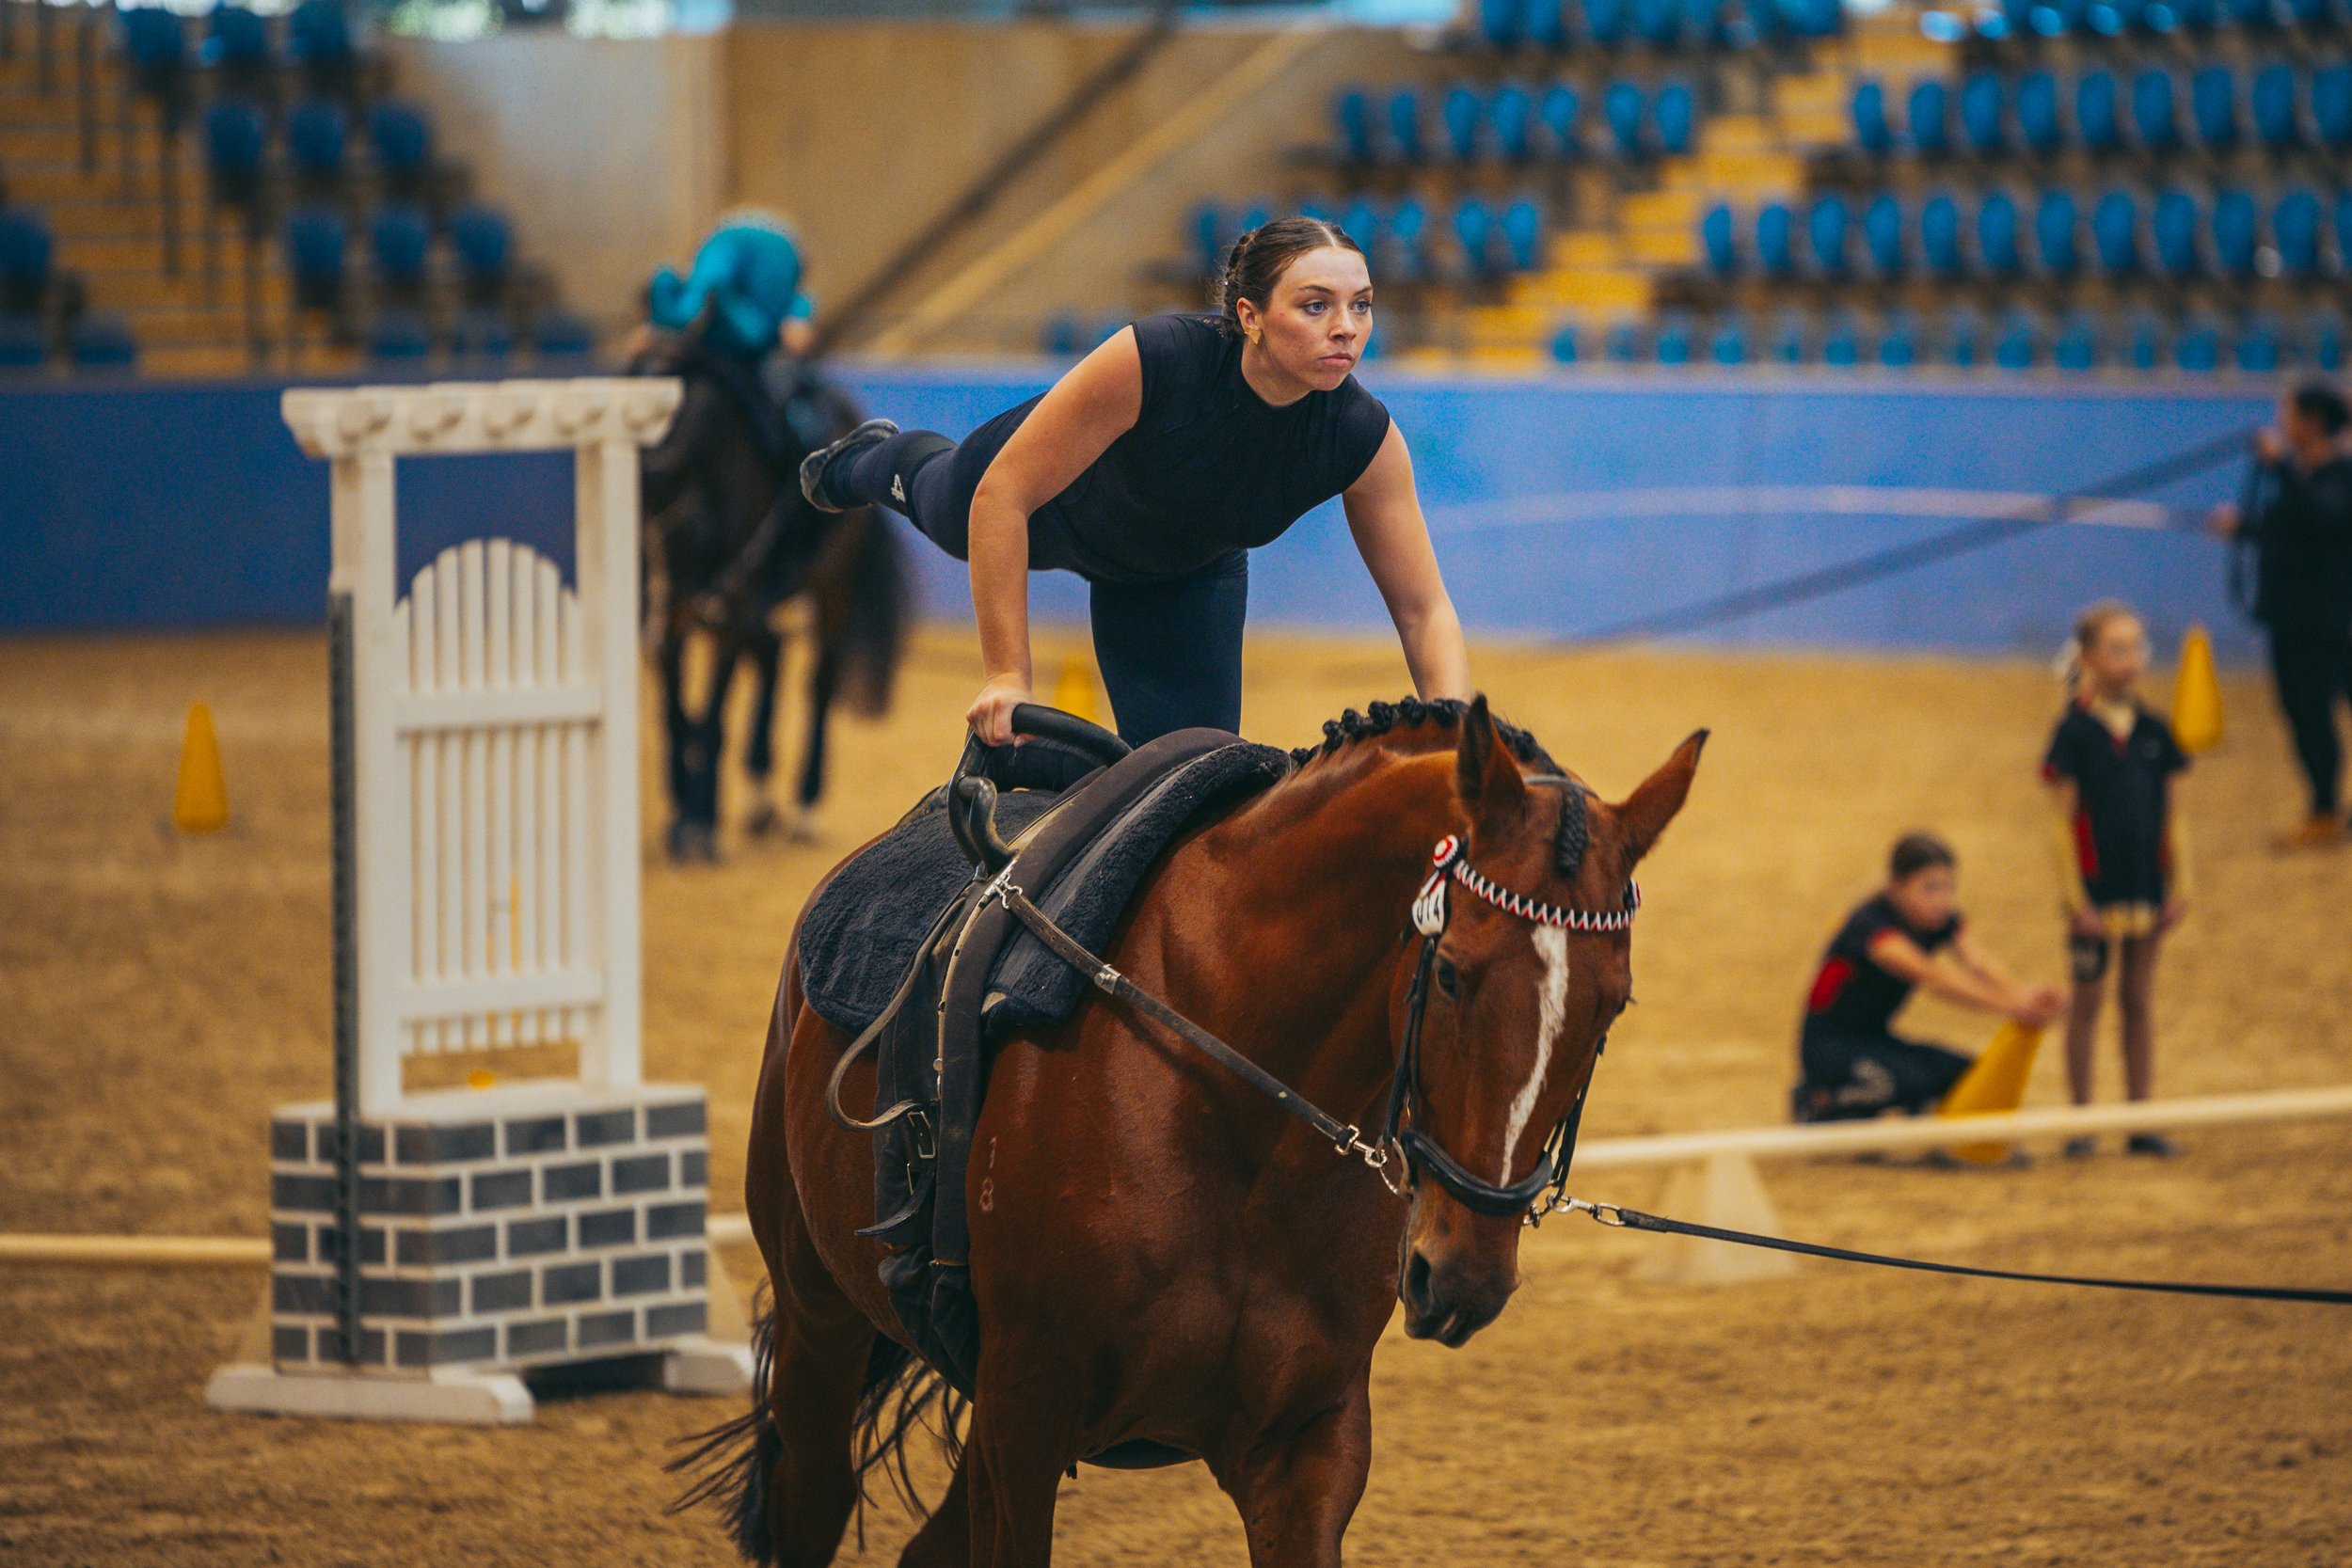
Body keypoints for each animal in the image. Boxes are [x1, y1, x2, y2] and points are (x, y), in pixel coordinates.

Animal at [634, 329, 912, 861]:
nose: (646, 599)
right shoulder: (680, 620)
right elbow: (678, 717)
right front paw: (683, 815)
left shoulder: (731, 613)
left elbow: (711, 721)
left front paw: (699, 824)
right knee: (773, 655)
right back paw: (761, 799)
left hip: (831, 589)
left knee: (818, 683)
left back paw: (804, 807)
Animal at [686, 694, 1705, 1566]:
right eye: (1451, 971)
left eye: (1613, 1004)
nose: (1463, 1277)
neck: (1242, 1127)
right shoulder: (1026, 1413)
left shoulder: (1305, 1448)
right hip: (822, 1318)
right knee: (812, 1498)